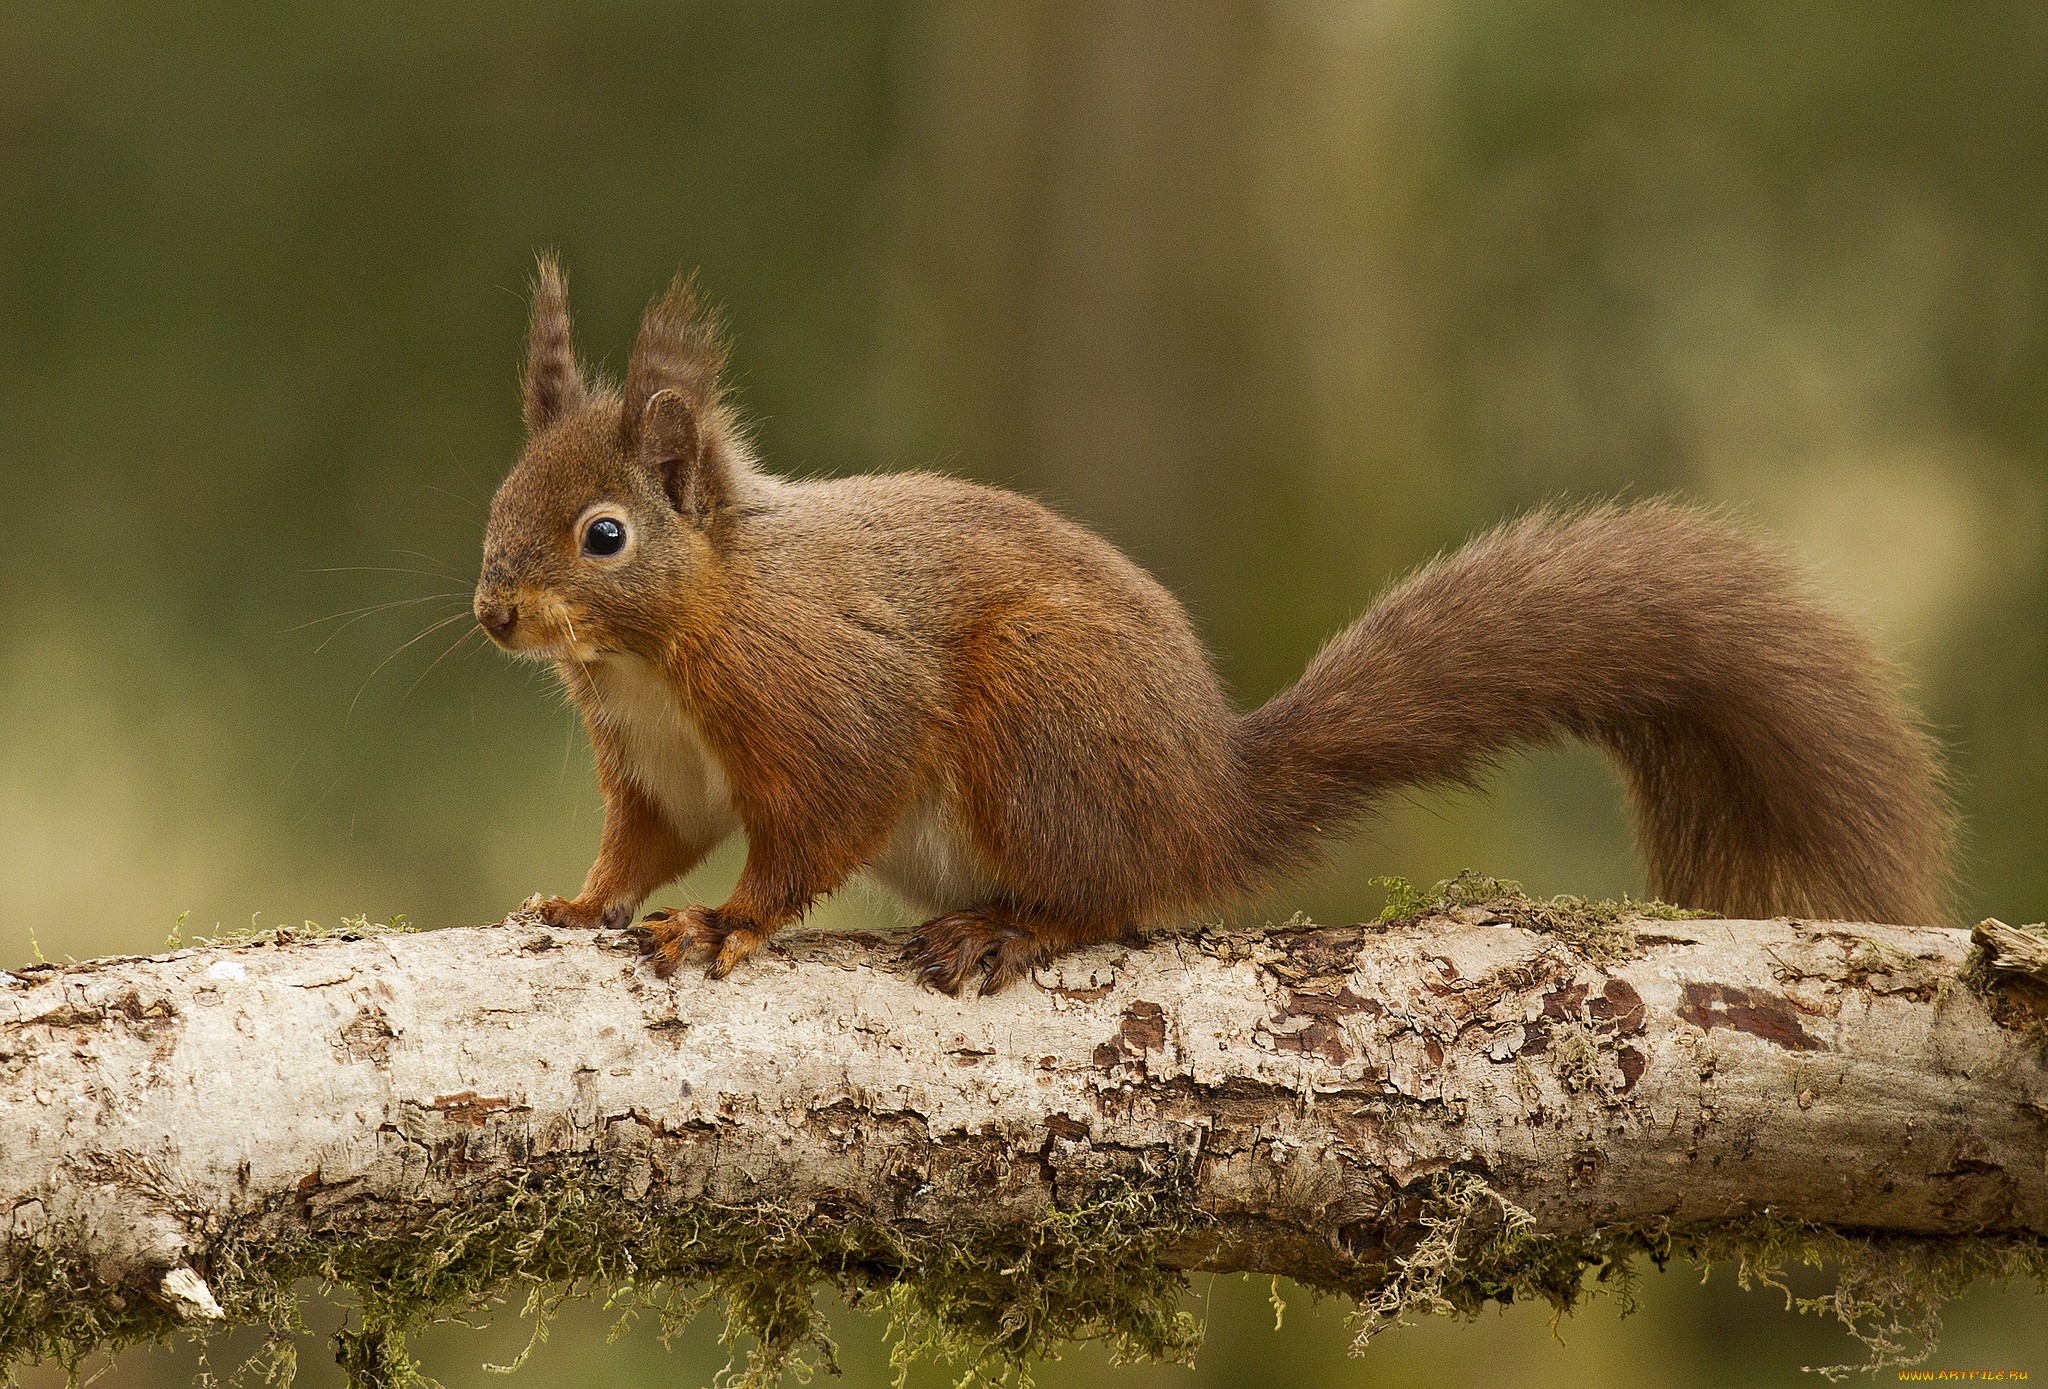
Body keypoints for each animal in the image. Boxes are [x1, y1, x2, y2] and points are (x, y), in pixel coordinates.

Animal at [471, 261, 1957, 995]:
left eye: (604, 535)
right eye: (498, 499)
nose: (493, 616)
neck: (659, 651)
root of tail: (1204, 799)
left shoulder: (819, 693)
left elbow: (814, 821)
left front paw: (728, 927)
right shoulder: (656, 761)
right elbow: (649, 841)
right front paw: (579, 901)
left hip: (1041, 725)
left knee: (1108, 898)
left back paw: (1011, 931)